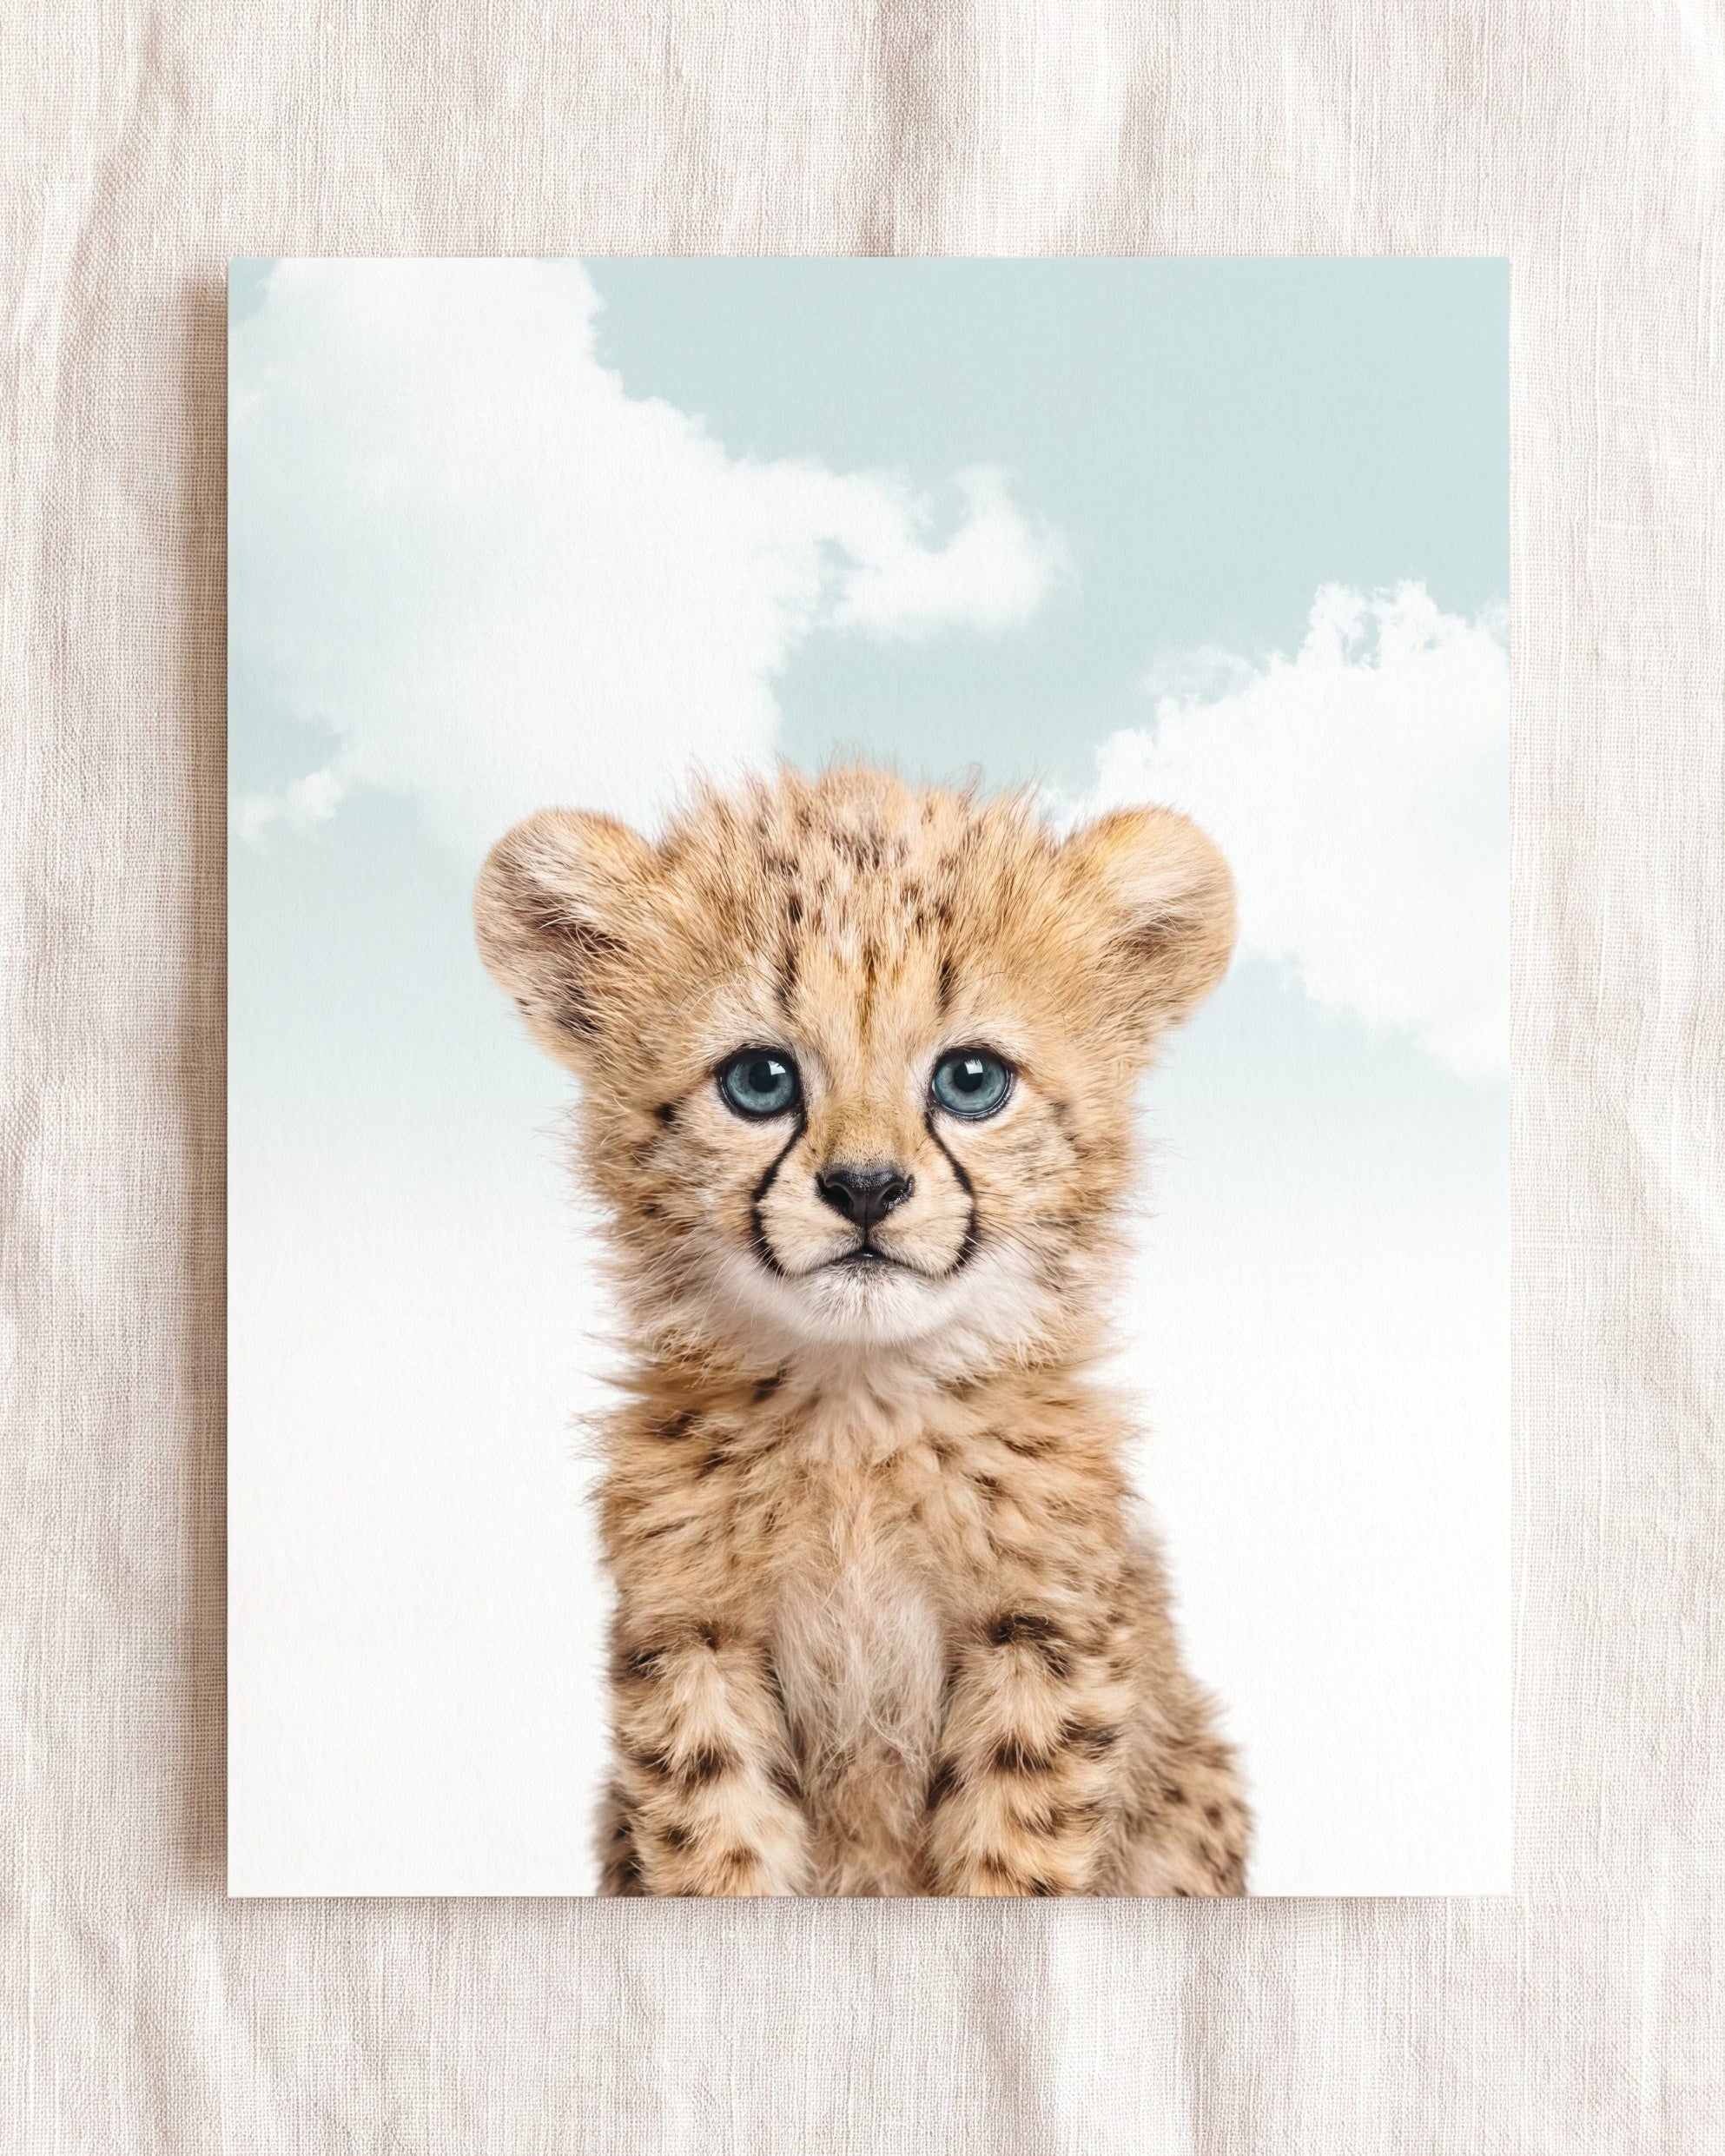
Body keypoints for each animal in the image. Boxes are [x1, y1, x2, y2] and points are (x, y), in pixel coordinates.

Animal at [475, 762, 1250, 1896]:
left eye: (971, 1079)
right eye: (760, 1079)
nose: (867, 1187)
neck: (858, 1407)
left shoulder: (1043, 1636)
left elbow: (1012, 1860)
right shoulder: (694, 1637)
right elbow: (717, 1845)